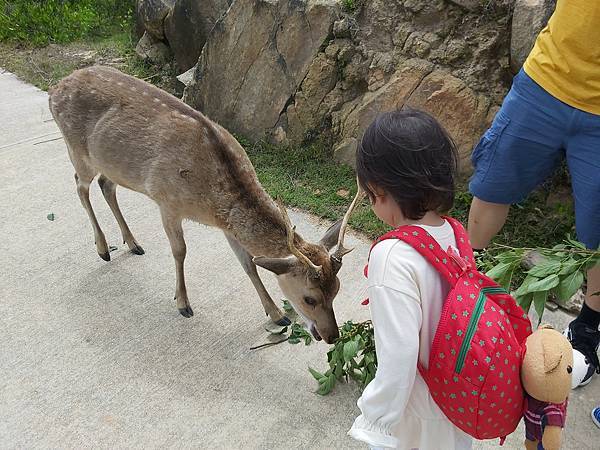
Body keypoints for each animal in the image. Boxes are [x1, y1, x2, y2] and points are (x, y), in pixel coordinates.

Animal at [49, 66, 358, 342]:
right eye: (309, 298)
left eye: (336, 290)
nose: (331, 336)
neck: (212, 198)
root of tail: (55, 88)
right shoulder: (166, 201)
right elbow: (180, 251)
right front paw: (183, 303)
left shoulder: (228, 226)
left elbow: (249, 264)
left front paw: (276, 314)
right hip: (77, 150)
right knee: (80, 186)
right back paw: (103, 248)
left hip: (111, 165)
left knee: (106, 185)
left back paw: (133, 243)